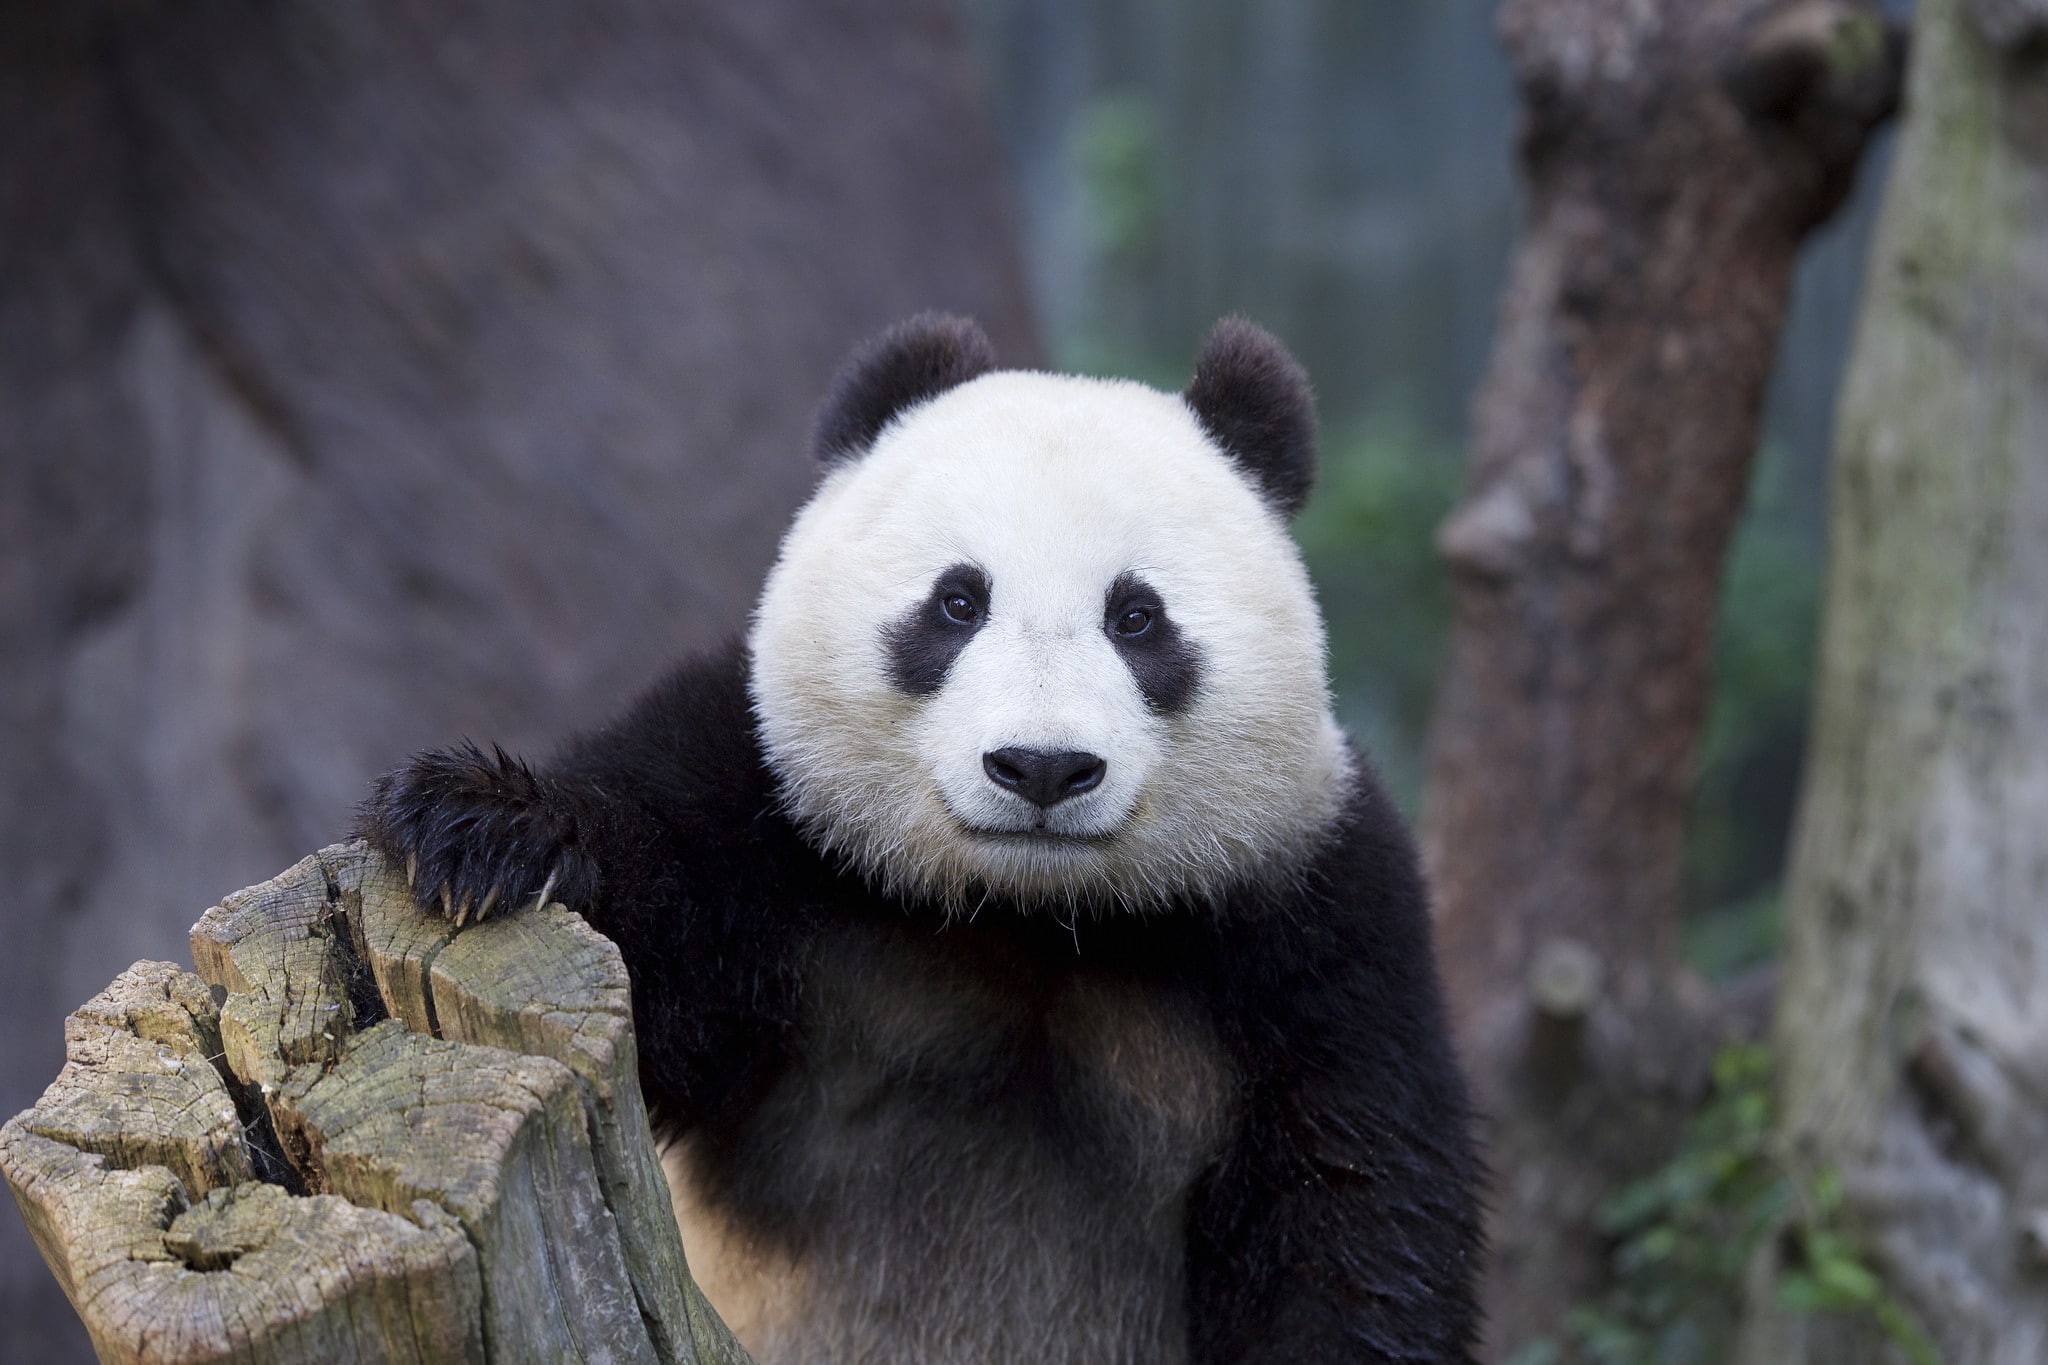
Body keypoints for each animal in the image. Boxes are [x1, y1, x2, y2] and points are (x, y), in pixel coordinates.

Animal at [358, 314, 1483, 1364]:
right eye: (957, 601)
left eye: (1137, 617)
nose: (1041, 768)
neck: (1029, 914)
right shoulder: (767, 812)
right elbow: (655, 938)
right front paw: (478, 828)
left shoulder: (1315, 924)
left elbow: (1352, 1209)